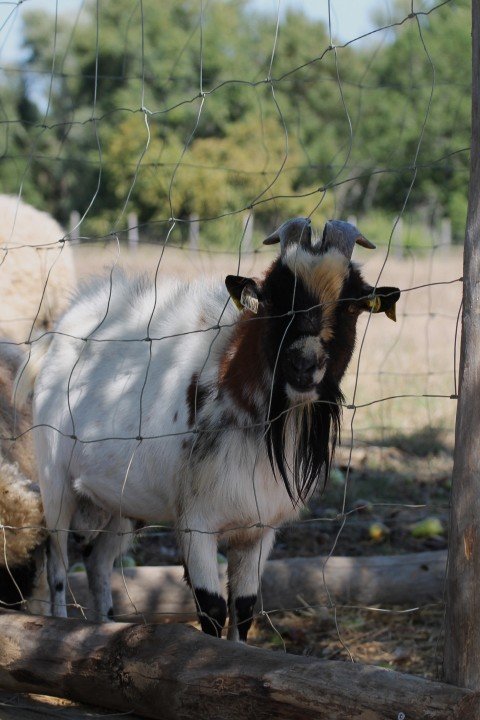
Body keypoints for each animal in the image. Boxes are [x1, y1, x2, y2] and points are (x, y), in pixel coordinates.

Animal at [18, 217, 400, 640]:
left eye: (351, 304)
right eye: (272, 299)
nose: (302, 366)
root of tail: (66, 325)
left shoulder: (258, 530)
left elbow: (244, 607)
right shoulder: (196, 524)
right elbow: (213, 608)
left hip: (122, 503)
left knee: (98, 560)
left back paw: (104, 629)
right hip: (55, 482)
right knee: (56, 564)